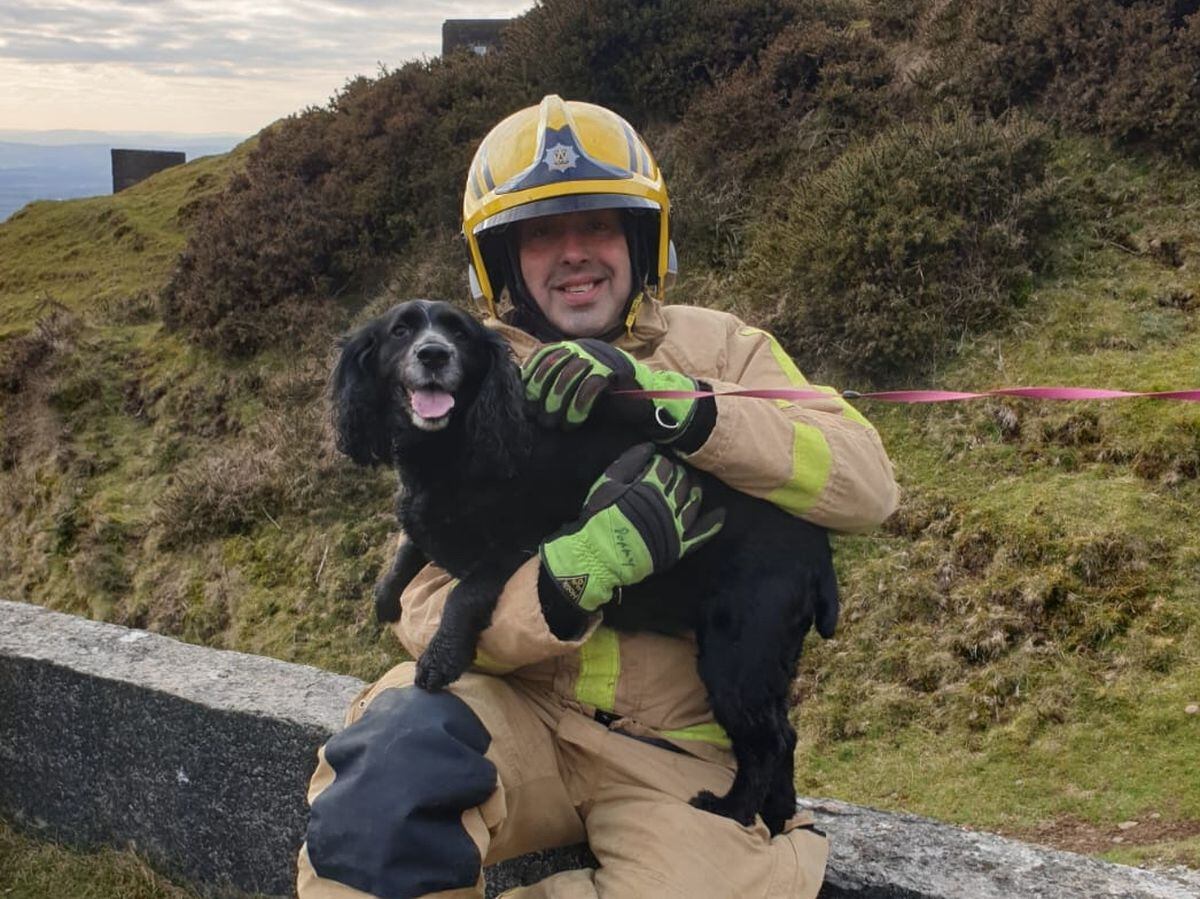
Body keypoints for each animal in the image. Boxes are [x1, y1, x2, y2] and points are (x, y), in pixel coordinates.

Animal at [328, 297, 835, 830]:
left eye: (460, 334)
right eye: (400, 331)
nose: (432, 354)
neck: (458, 442)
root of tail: (818, 555)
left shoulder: (515, 549)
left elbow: (463, 594)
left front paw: (440, 658)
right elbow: (410, 548)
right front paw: (387, 598)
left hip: (737, 651)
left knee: (767, 741)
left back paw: (732, 809)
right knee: (784, 734)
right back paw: (777, 812)